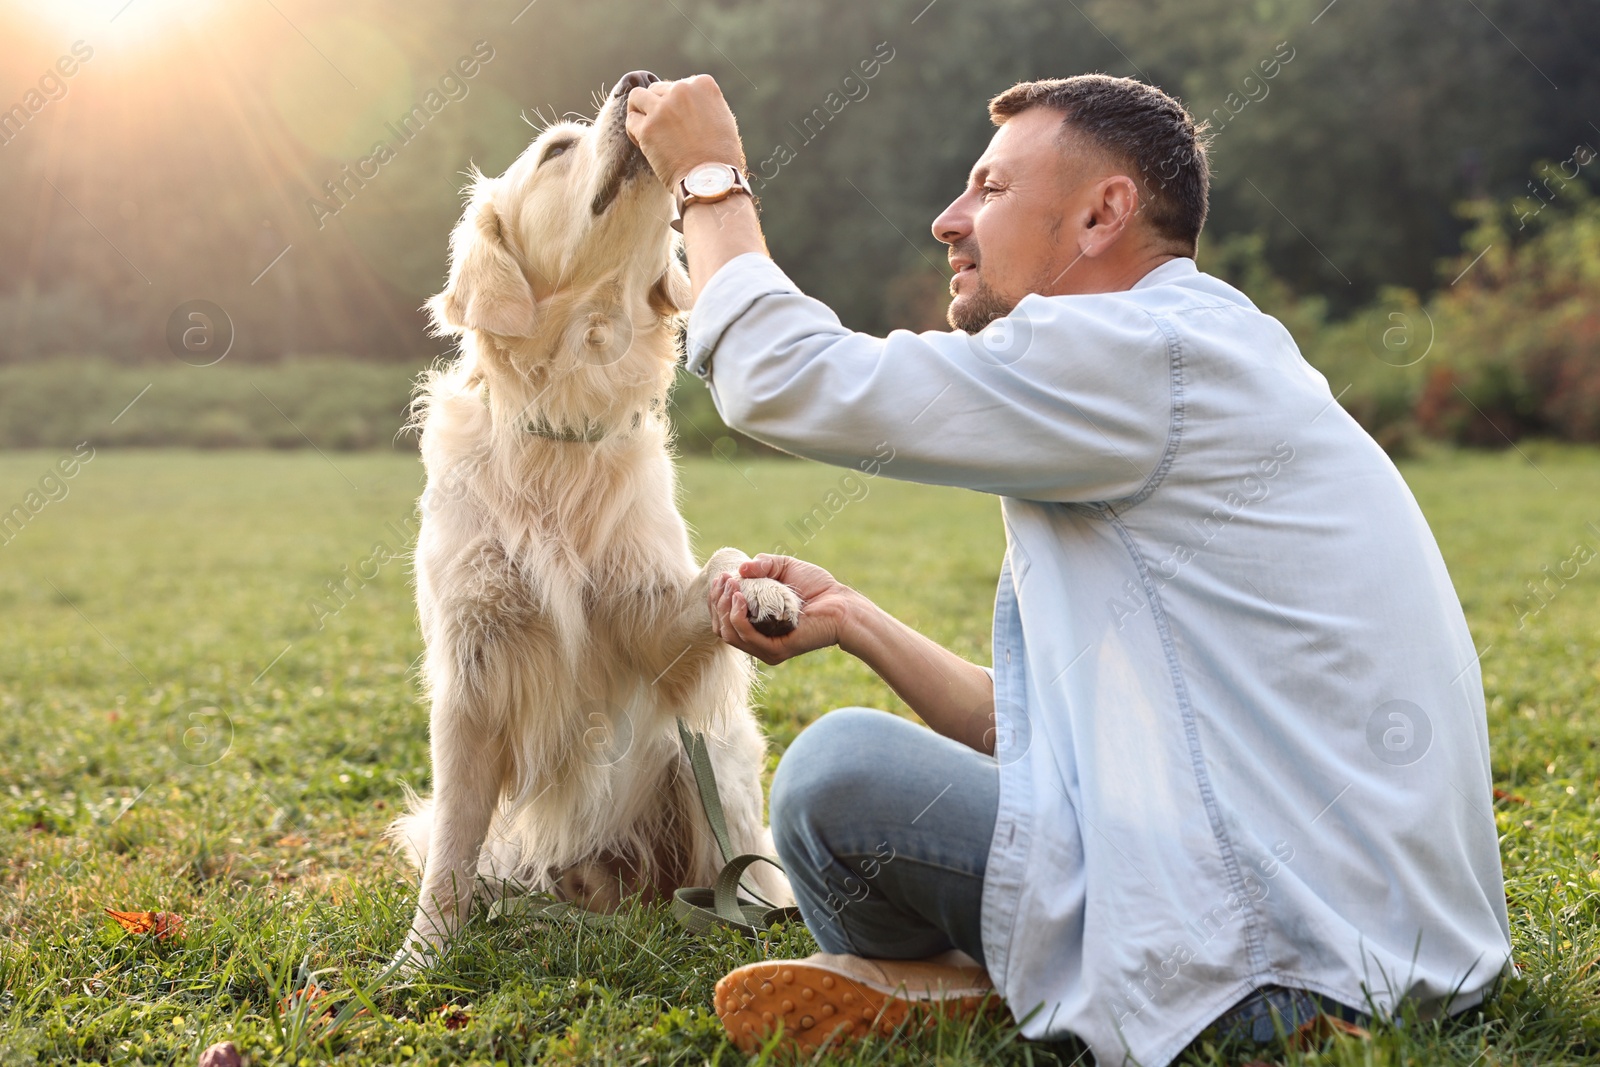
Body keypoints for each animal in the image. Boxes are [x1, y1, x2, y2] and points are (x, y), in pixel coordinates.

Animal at [388, 68, 800, 966]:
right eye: (554, 151)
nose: (639, 79)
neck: (564, 424)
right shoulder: (472, 670)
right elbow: (453, 839)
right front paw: (424, 951)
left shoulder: (649, 620)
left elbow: (719, 561)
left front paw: (765, 592)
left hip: (708, 760)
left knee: (741, 852)